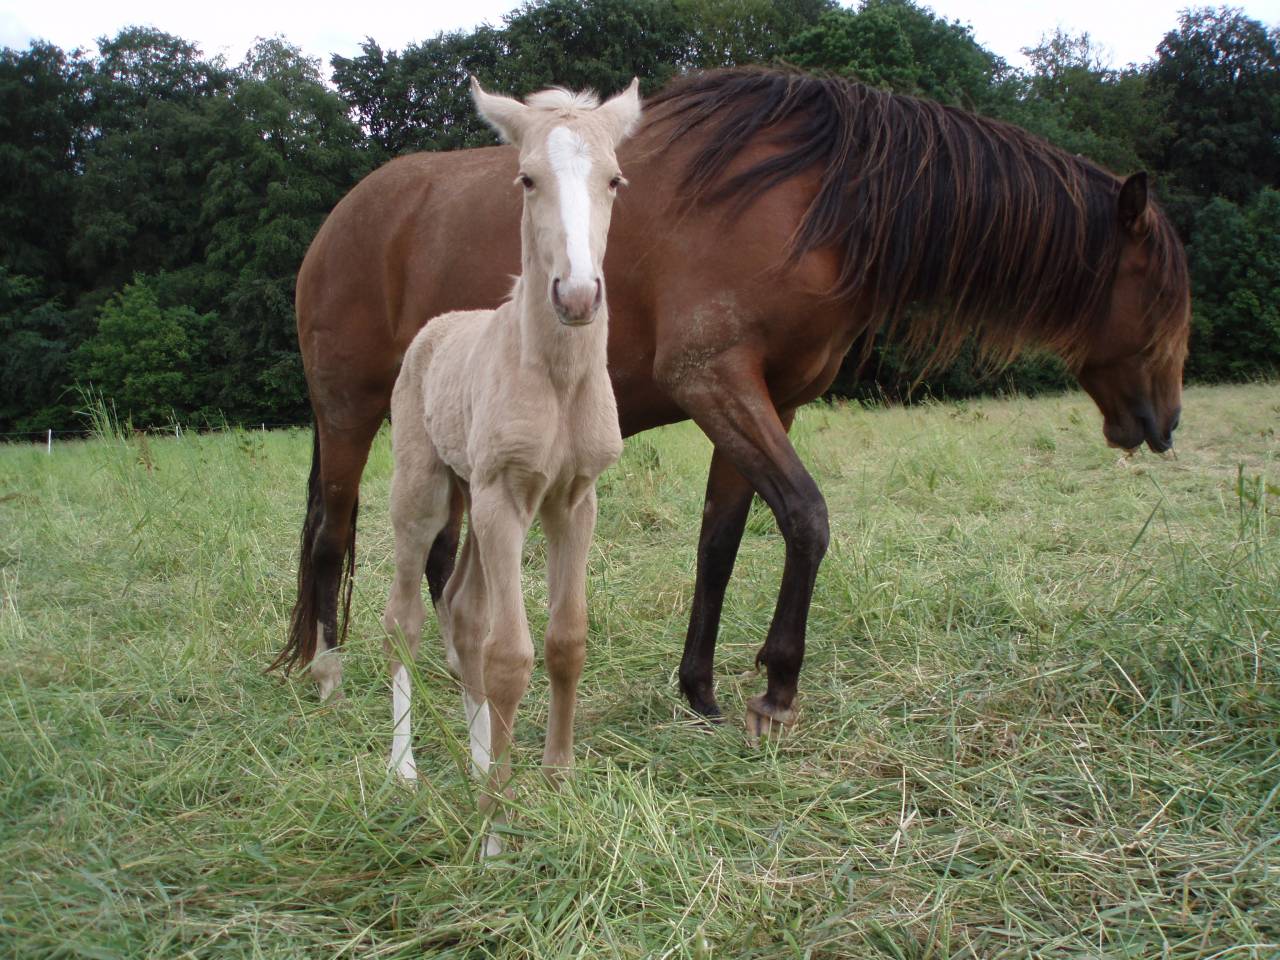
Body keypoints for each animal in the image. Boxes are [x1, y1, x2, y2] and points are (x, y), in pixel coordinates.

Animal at [272, 67, 1190, 741]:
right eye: (1162, 294)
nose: (1165, 423)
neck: (810, 202)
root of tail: (338, 222)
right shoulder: (714, 381)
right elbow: (807, 518)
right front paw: (777, 689)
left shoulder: (764, 401)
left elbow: (722, 541)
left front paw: (701, 689)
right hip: (351, 411)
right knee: (333, 531)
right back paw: (325, 676)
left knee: (438, 552)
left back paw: (455, 669)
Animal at [380, 79, 639, 852]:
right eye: (526, 179)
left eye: (614, 180)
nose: (578, 295)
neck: (555, 379)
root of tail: (435, 328)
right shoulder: (504, 496)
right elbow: (507, 656)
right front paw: (495, 828)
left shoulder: (575, 499)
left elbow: (564, 641)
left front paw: (556, 783)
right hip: (429, 493)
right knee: (405, 619)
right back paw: (403, 769)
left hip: (469, 493)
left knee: (461, 609)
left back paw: (474, 761)